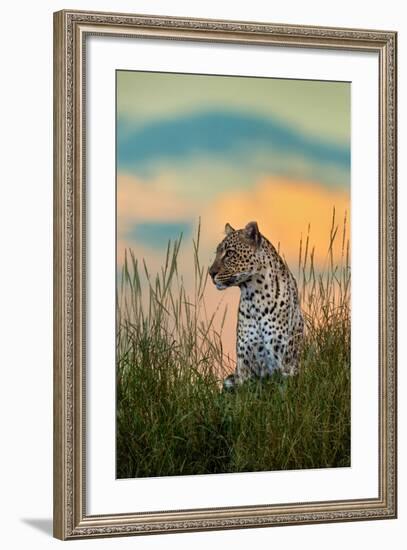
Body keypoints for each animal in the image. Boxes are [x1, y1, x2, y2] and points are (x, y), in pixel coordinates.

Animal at [209, 222, 304, 390]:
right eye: (217, 253)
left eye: (230, 253)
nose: (210, 273)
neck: (255, 298)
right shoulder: (244, 367)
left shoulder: (283, 365)